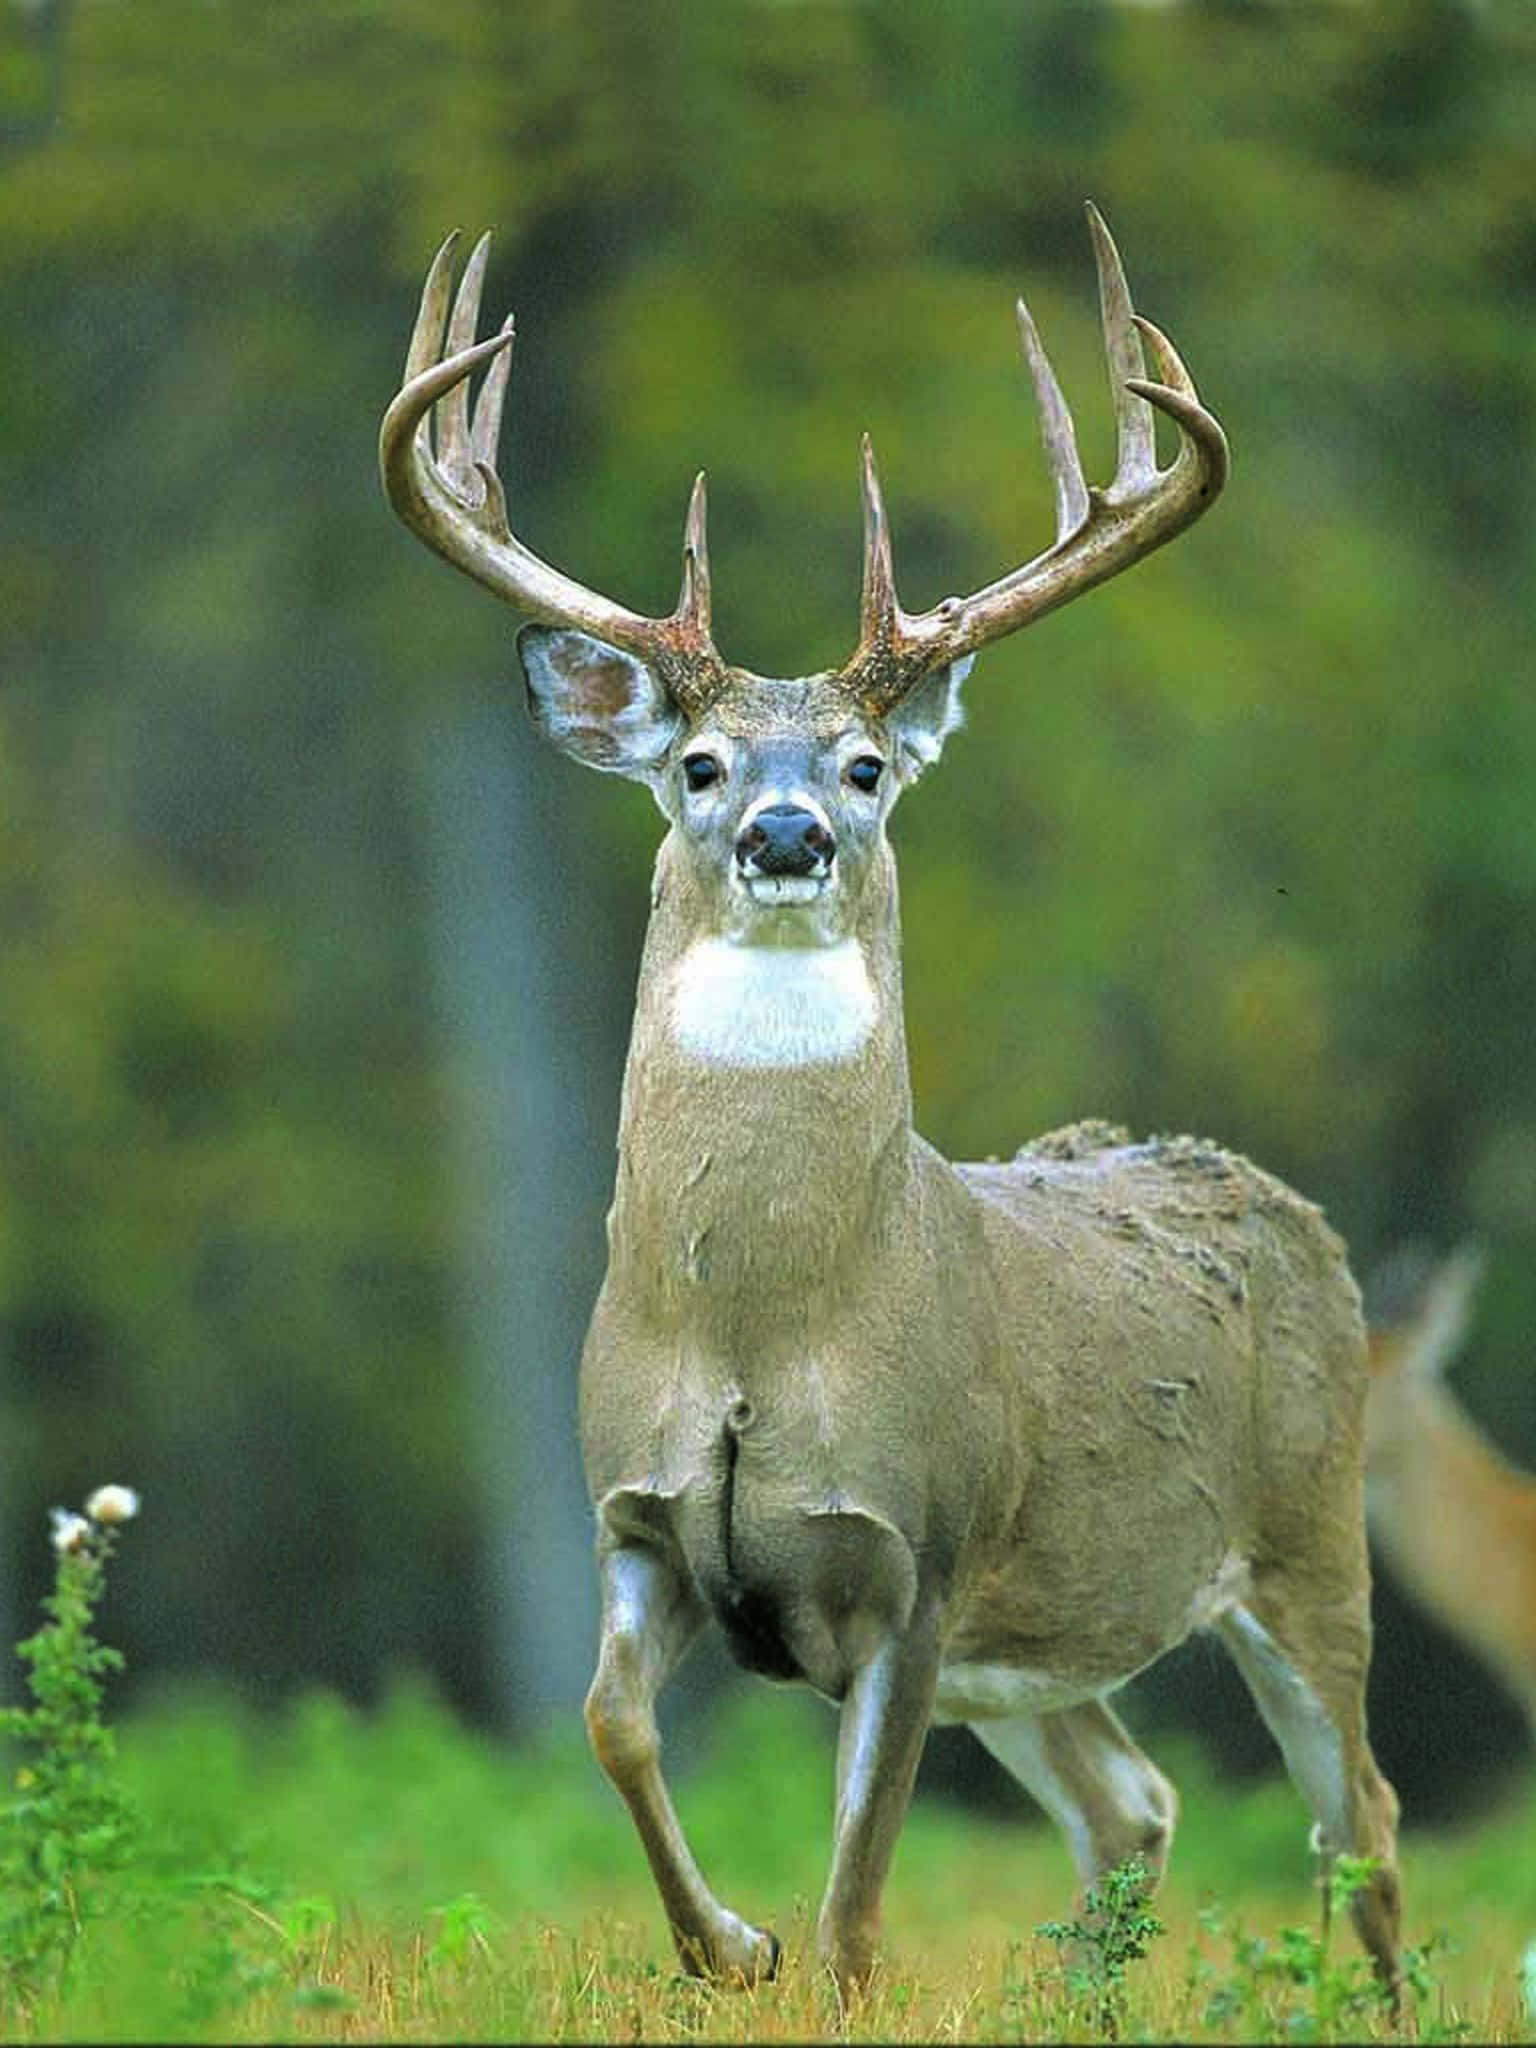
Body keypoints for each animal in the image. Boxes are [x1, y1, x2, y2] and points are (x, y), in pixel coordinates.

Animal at [379, 203, 1402, 2002]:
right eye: (699, 764)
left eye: (865, 768)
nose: (788, 832)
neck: (759, 1327)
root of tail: (1280, 1203)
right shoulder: (631, 1513)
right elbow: (608, 1723)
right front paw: (727, 1941)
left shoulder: (920, 1552)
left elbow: (862, 1901)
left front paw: (794, 1950)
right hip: (1045, 1645)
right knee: (1136, 1802)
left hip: (1305, 1538)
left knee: (1365, 1821)